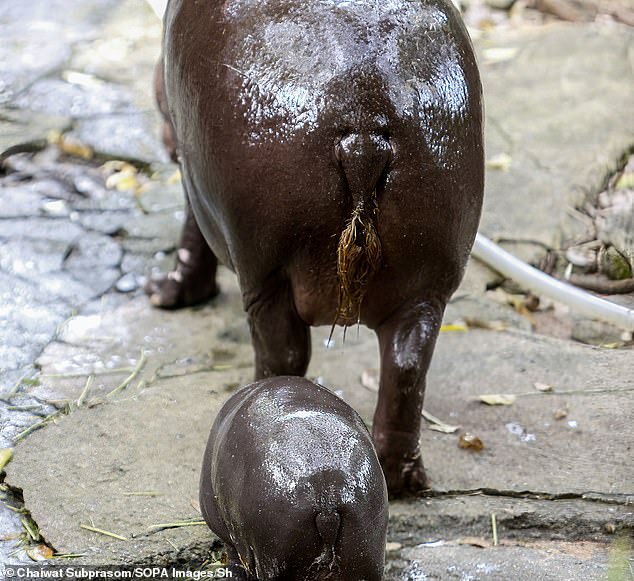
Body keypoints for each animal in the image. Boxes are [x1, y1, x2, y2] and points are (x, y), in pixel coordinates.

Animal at [149, 0, 484, 494]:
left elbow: (191, 239)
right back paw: (402, 478)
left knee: (284, 353)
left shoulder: (195, 182)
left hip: (265, 270)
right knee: (406, 366)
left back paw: (250, 407)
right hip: (430, 278)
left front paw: (165, 294)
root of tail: (366, 125)